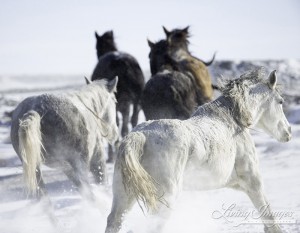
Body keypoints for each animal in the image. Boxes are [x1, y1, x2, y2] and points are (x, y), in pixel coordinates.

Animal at [105, 69, 290, 233]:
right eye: (280, 101)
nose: (288, 132)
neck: (232, 122)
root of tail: (140, 136)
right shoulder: (253, 181)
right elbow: (268, 215)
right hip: (165, 199)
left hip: (124, 196)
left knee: (114, 221)